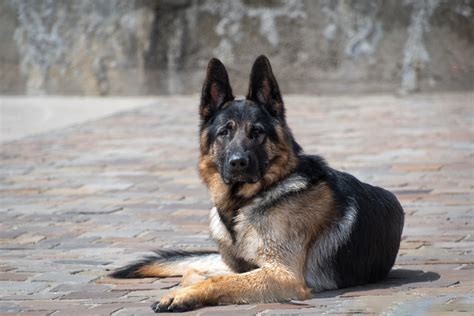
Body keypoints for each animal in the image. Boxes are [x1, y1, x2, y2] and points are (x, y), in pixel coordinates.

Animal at [112, 55, 404, 312]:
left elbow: (219, 279)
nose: (238, 163)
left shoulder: (284, 274)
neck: (248, 200)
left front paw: (184, 295)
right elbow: (198, 272)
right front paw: (180, 290)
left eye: (257, 132)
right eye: (224, 132)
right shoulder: (242, 266)